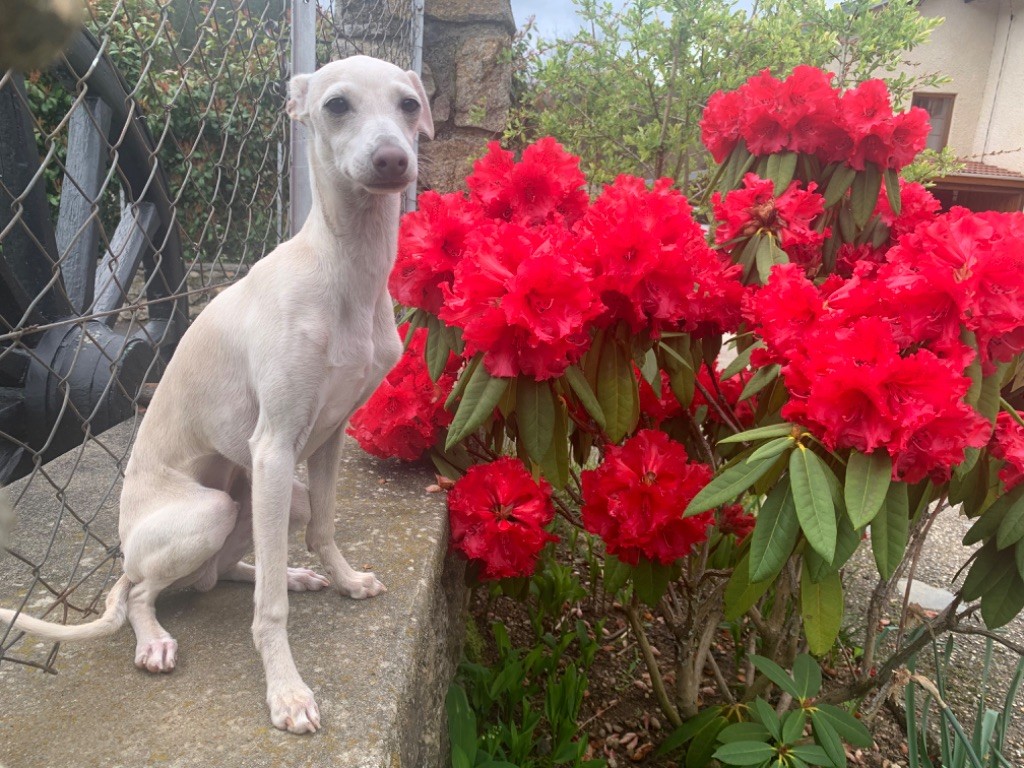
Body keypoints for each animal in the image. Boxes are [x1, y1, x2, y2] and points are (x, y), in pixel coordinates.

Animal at [0, 55, 434, 733]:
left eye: (409, 104)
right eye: (336, 105)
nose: (392, 160)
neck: (343, 272)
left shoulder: (328, 439)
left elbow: (326, 528)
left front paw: (342, 579)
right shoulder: (275, 446)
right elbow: (269, 612)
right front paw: (286, 691)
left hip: (270, 499)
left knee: (222, 572)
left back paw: (289, 573)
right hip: (211, 510)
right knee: (141, 592)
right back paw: (153, 638)